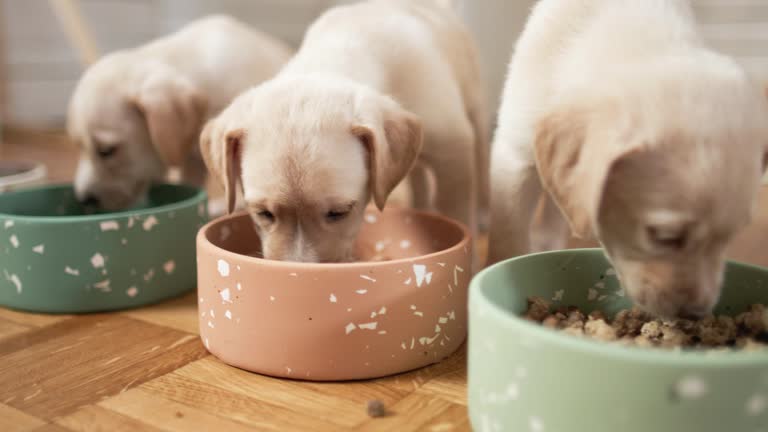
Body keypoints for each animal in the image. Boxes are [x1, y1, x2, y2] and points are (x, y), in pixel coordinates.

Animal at [198, 0, 486, 264]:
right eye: (263, 213)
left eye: (339, 212)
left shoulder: (453, 151)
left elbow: (458, 211)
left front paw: (469, 262)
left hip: (473, 107)